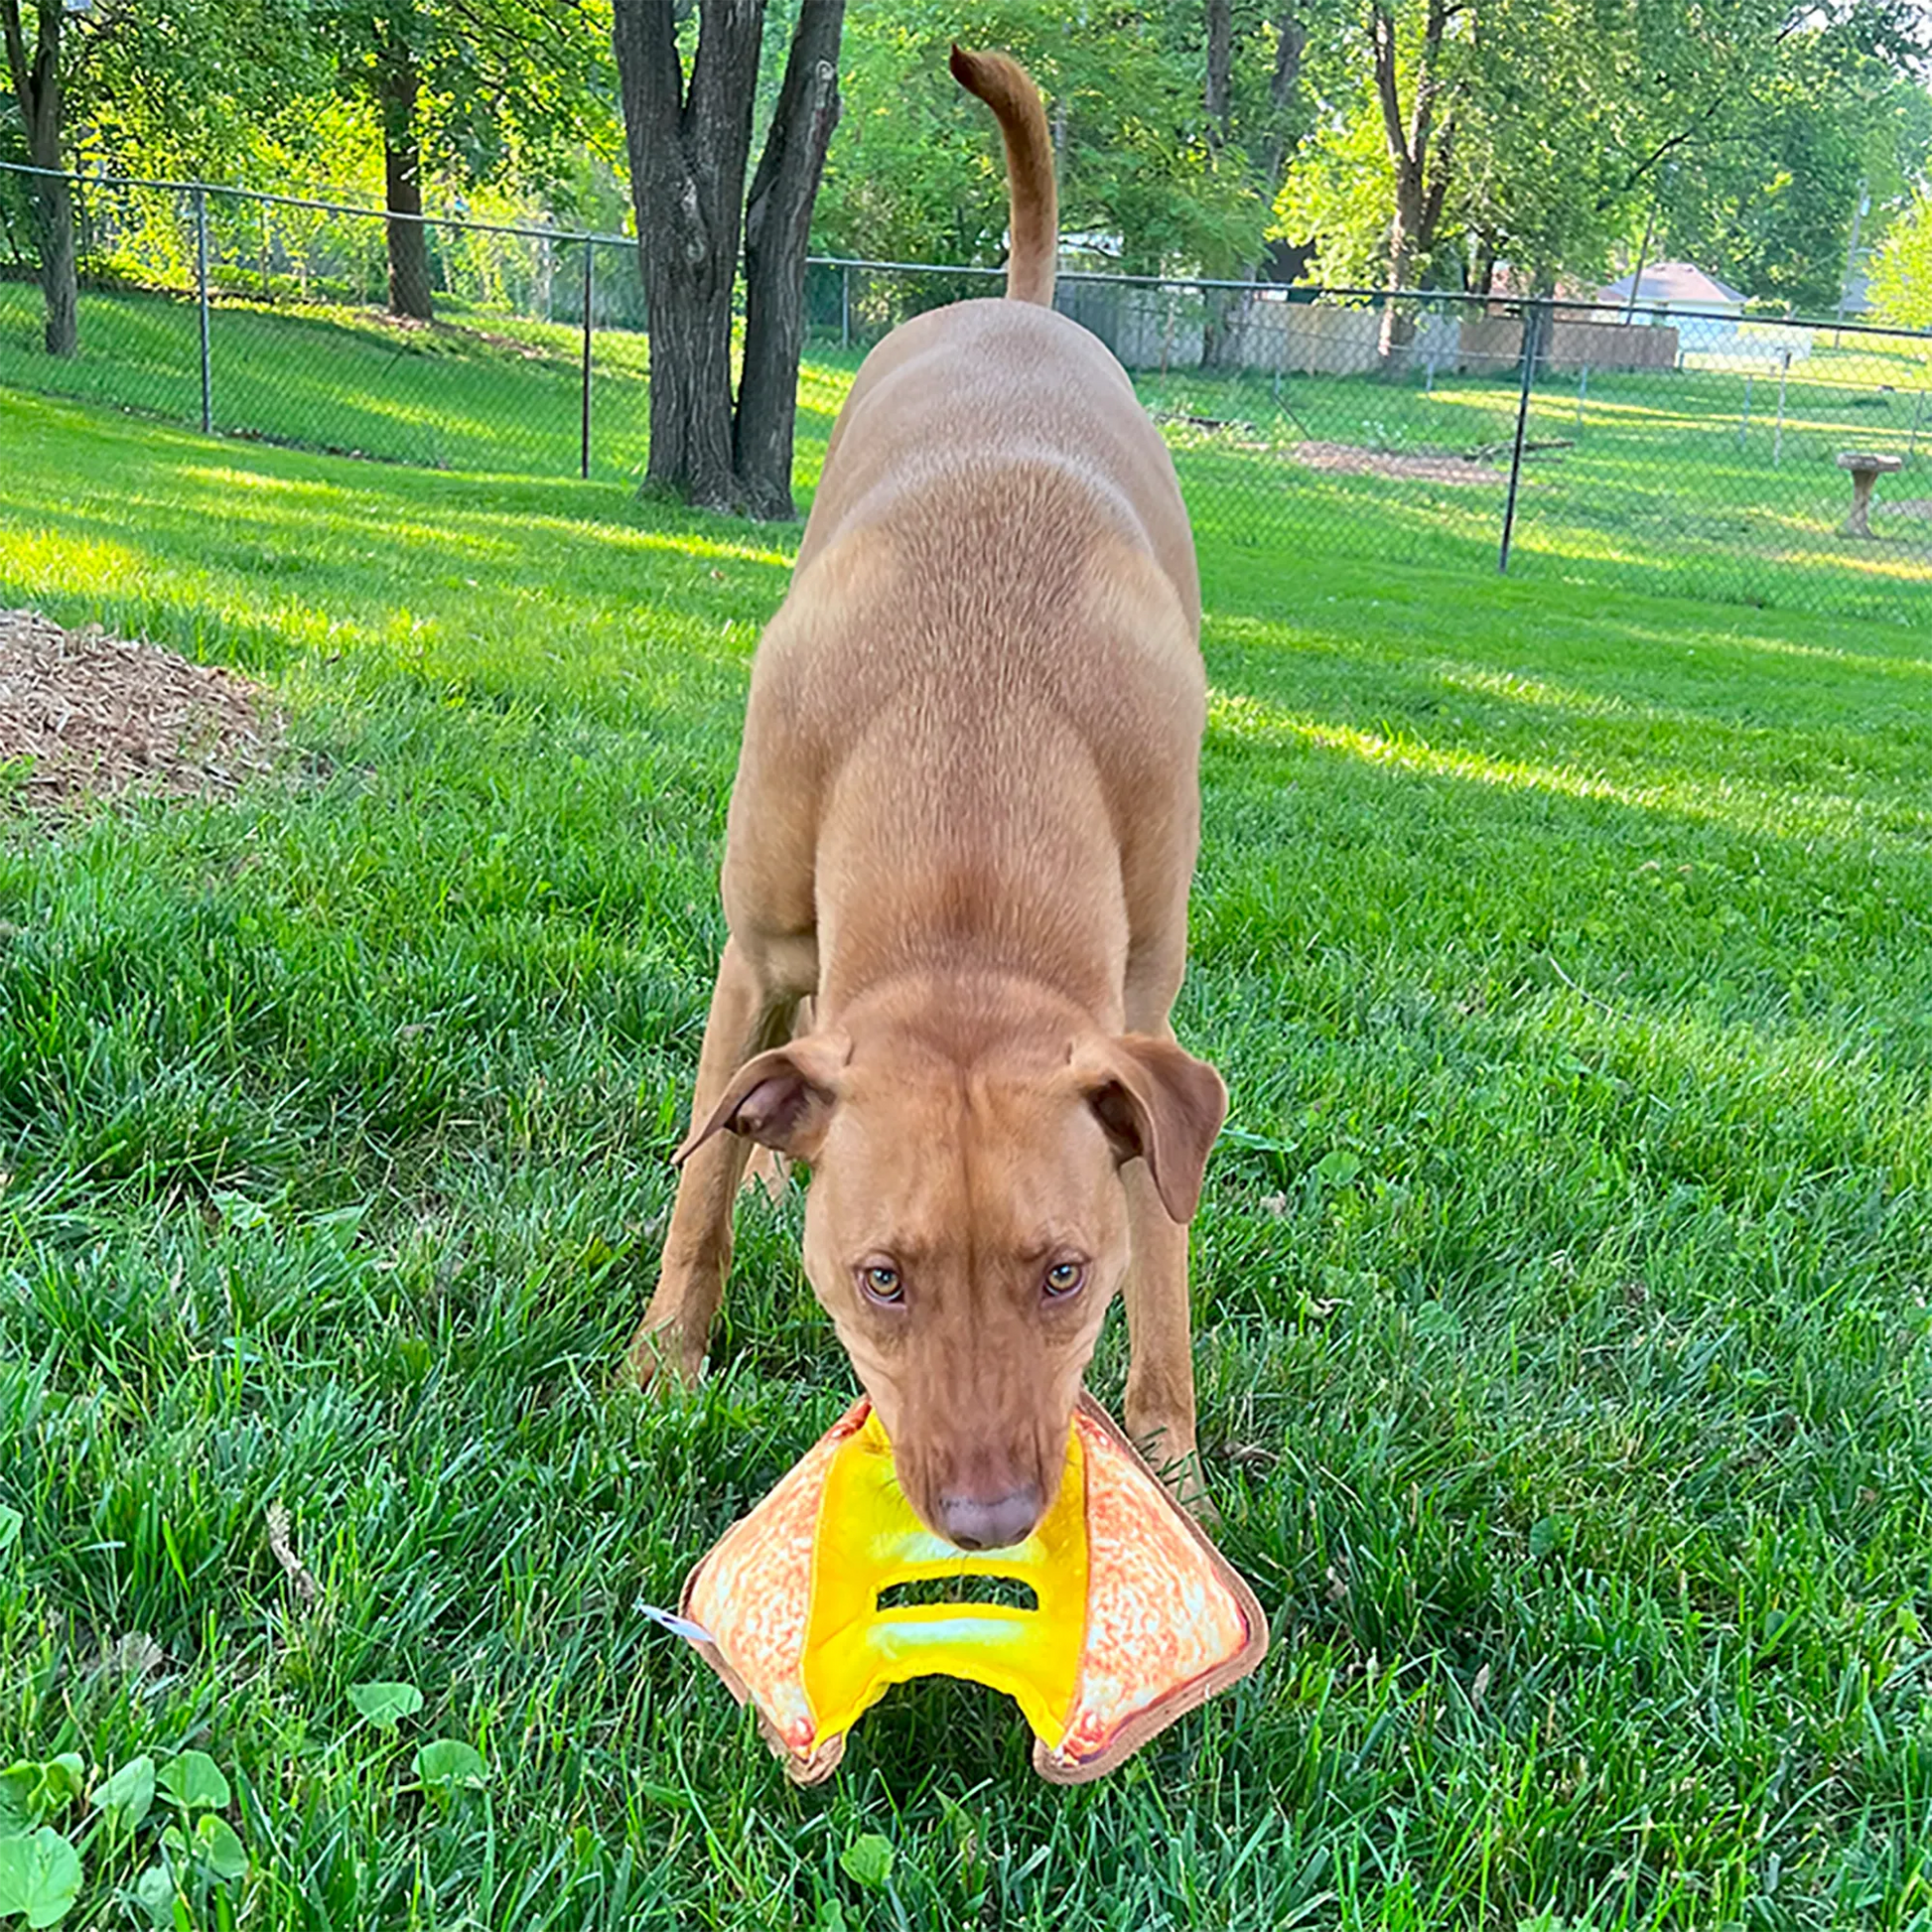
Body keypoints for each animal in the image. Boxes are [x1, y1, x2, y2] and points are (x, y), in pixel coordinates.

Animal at [633, 49, 1220, 1553]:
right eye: (879, 1277)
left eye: (1063, 1273)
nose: (990, 1513)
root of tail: (1021, 307)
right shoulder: (755, 945)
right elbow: (699, 1182)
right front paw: (661, 1359)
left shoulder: (1142, 1016)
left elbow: (1168, 1239)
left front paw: (1174, 1456)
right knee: (749, 1084)